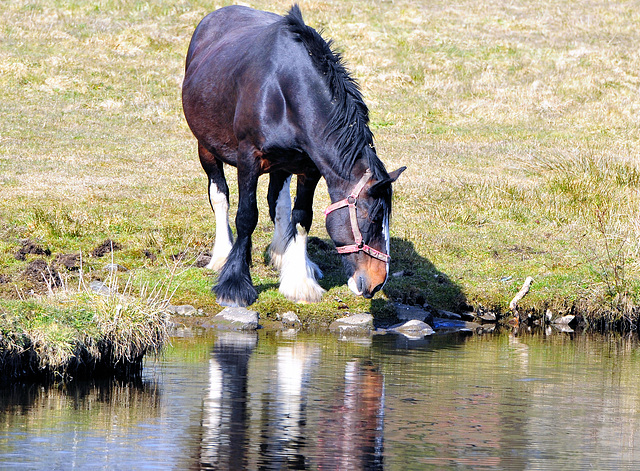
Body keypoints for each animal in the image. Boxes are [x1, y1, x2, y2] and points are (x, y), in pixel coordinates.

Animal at [181, 5, 404, 308]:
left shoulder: (309, 168)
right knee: (220, 196)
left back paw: (280, 254)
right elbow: (246, 216)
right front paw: (235, 283)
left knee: (278, 202)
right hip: (206, 147)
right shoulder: (248, 159)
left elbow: (300, 216)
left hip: (283, 165)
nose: (377, 283)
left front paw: (299, 281)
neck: (285, 90)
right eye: (372, 217)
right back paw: (223, 254)